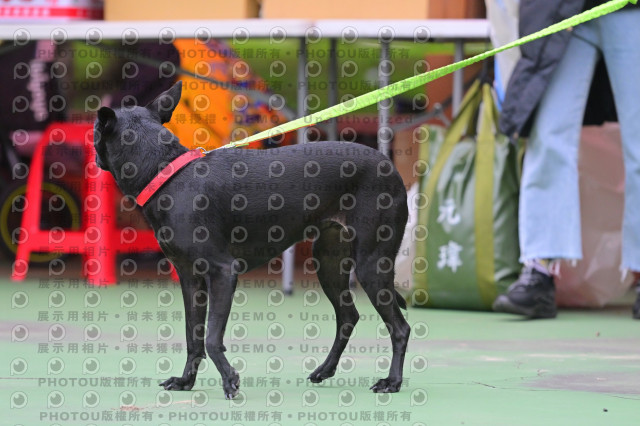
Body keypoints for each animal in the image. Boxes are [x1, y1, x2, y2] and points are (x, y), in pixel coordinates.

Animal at [94, 81, 410, 399]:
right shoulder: (190, 278)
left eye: (95, 130)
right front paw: (185, 382)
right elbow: (193, 337)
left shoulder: (222, 271)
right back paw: (325, 370)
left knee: (400, 328)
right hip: (328, 263)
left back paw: (392, 381)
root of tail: (390, 165)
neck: (168, 175)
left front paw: (229, 380)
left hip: (370, 265)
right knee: (348, 316)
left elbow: (211, 337)